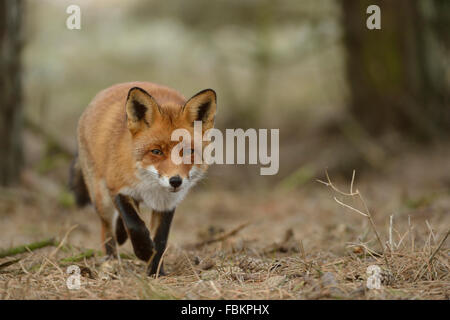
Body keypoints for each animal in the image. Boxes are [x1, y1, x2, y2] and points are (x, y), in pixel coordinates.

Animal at [69, 81, 217, 274]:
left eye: (188, 151)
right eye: (156, 151)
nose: (175, 181)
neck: (151, 187)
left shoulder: (167, 203)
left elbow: (160, 240)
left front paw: (155, 271)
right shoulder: (118, 188)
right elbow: (135, 225)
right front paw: (144, 251)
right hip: (101, 198)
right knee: (107, 230)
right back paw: (110, 260)